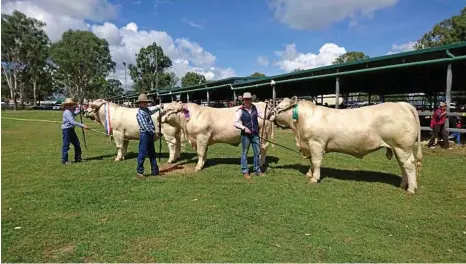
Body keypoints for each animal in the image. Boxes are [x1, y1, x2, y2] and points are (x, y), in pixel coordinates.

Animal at [270, 97, 422, 194]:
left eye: (279, 107)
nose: (270, 114)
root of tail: (402, 104)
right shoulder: (309, 144)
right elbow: (312, 162)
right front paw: (309, 174)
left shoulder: (316, 143)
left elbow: (316, 161)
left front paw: (314, 178)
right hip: (397, 148)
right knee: (402, 165)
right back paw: (403, 185)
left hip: (402, 146)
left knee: (409, 165)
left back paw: (411, 189)